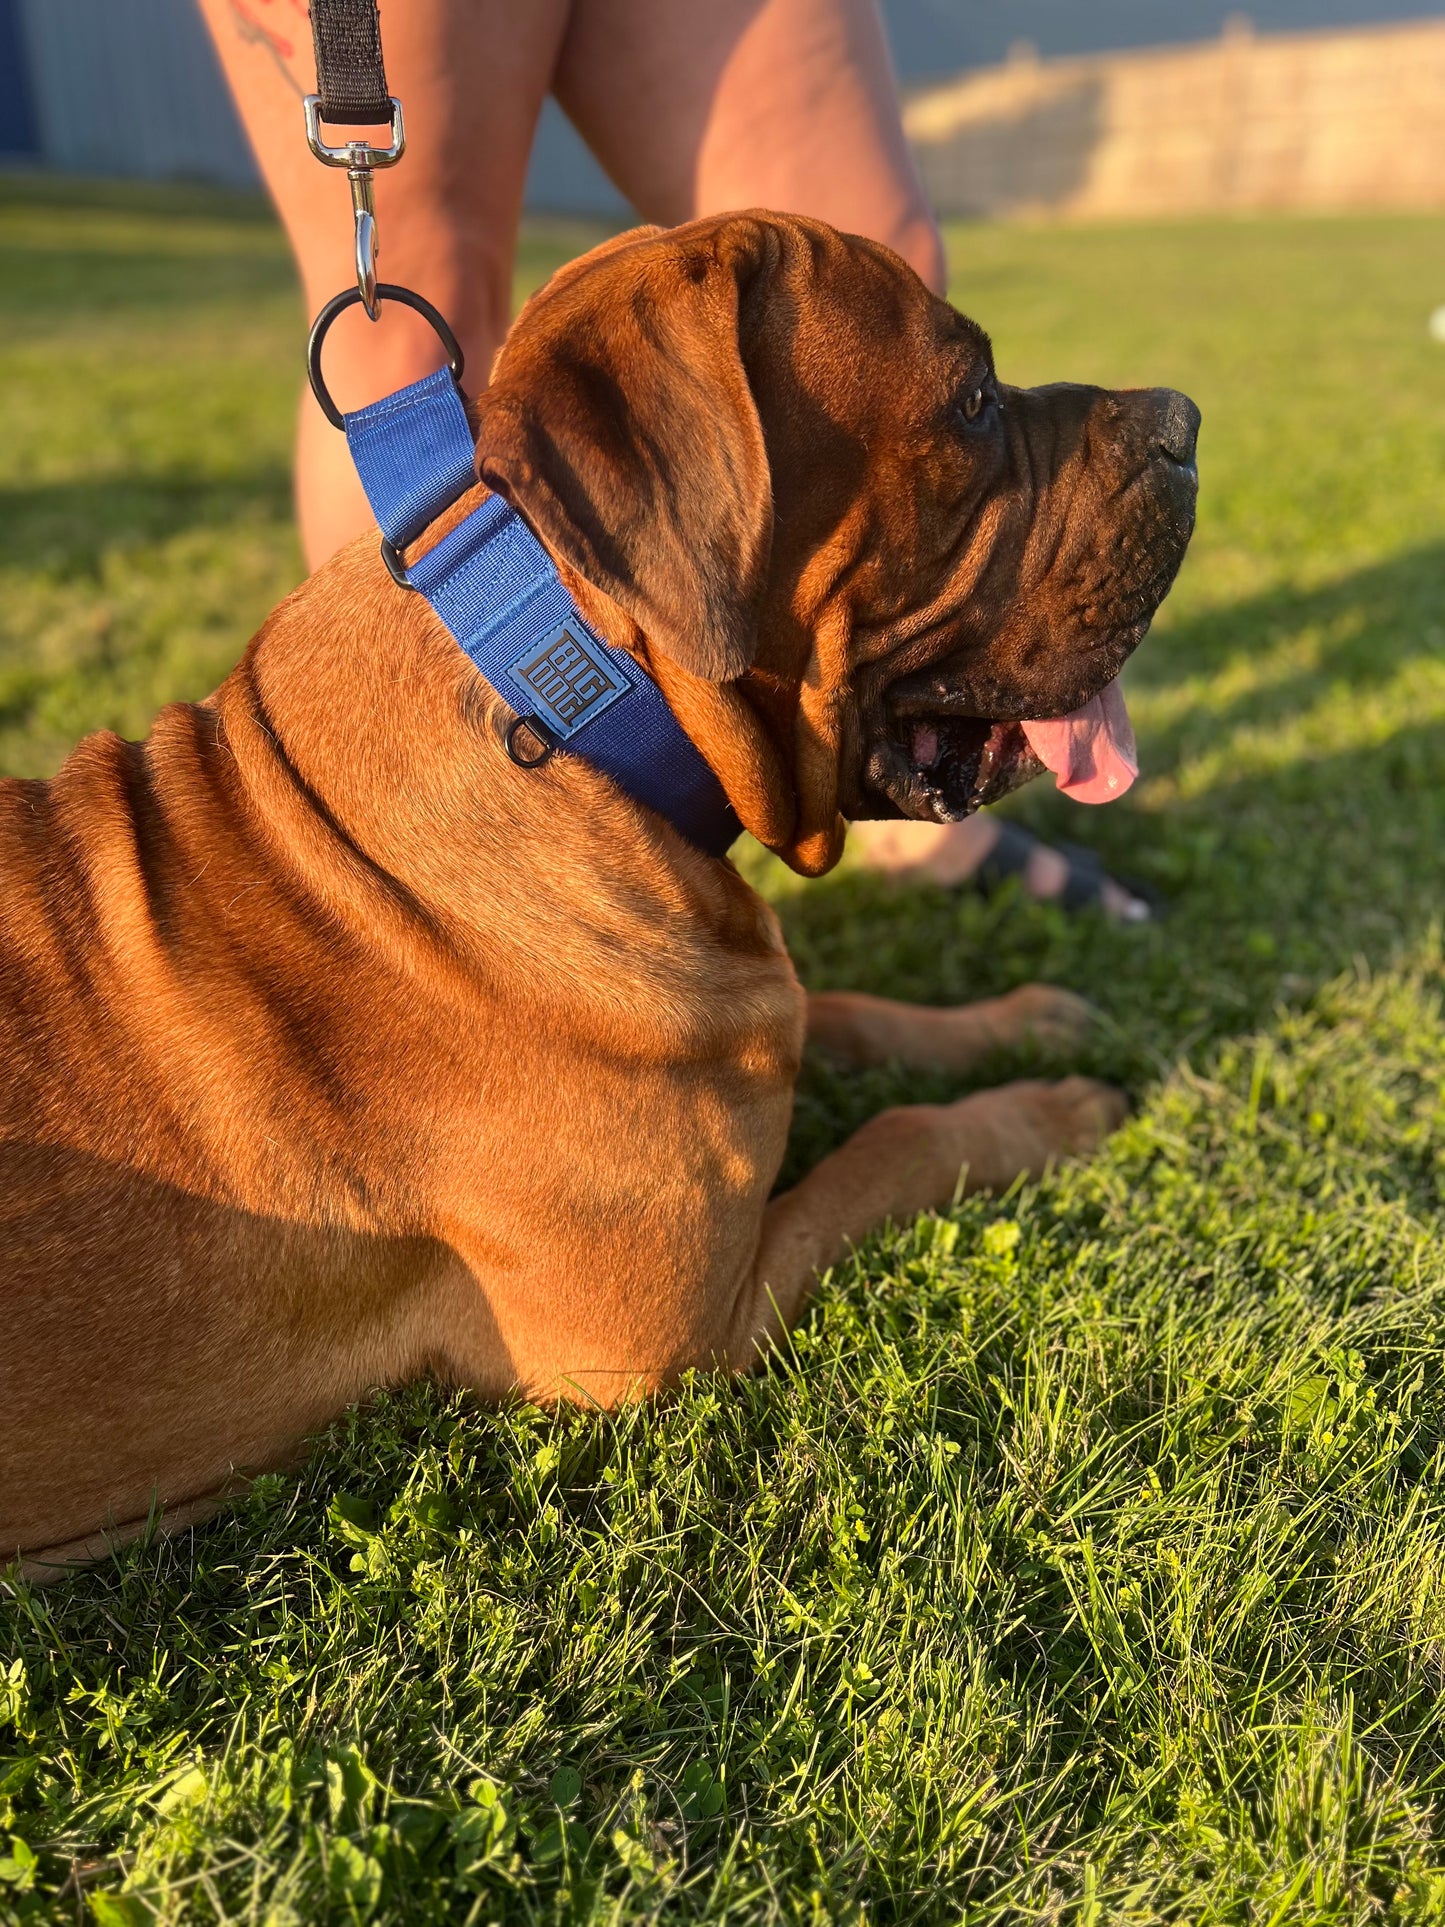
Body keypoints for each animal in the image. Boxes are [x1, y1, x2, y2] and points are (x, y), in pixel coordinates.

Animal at [0, 218, 1202, 1580]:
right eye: (973, 401)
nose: (1183, 417)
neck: (575, 715)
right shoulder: (675, 1341)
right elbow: (897, 1138)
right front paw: (1048, 1108)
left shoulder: (754, 1026)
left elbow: (848, 1010)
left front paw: (1020, 1019)